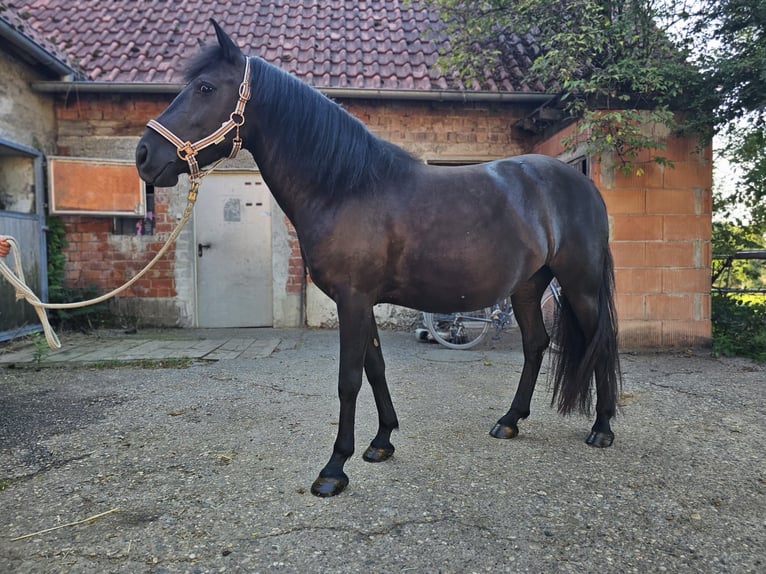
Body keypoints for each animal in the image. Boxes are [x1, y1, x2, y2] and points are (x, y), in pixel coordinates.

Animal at [135, 20, 622, 497]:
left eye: (204, 87)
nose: (143, 155)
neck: (346, 188)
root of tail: (583, 185)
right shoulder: (361, 300)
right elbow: (375, 367)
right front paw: (382, 442)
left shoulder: (353, 299)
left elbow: (349, 378)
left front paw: (334, 468)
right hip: (527, 287)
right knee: (536, 344)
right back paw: (509, 421)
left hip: (579, 286)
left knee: (601, 341)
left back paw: (601, 428)